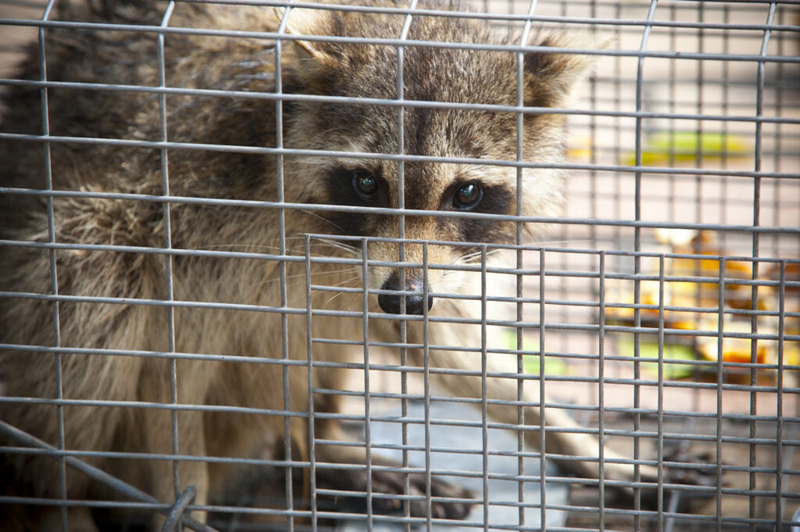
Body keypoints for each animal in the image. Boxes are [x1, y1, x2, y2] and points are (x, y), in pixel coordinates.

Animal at [0, 1, 656, 530]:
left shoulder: (413, 270)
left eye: (466, 193)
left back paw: (320, 450)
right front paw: (180, 504)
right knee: (93, 280)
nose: (404, 297)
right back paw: (63, 502)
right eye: (368, 184)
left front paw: (580, 444)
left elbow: (445, 338)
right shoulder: (188, 210)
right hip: (86, 247)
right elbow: (170, 367)